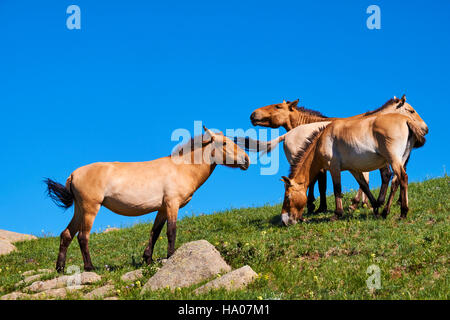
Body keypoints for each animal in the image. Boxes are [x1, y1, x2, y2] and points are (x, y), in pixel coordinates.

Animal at [45, 126, 250, 272]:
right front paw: (171, 256)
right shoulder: (172, 204)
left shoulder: (162, 208)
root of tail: (73, 174)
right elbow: (171, 231)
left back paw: (60, 268)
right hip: (90, 208)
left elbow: (155, 232)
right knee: (82, 236)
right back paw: (89, 267)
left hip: (79, 209)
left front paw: (148, 259)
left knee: (66, 234)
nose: (247, 160)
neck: (181, 167)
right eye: (224, 143)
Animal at [280, 102, 428, 225]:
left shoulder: (334, 167)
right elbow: (364, 186)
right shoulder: (354, 169)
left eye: (287, 197)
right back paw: (385, 211)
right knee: (396, 181)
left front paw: (337, 214)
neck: (322, 139)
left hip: (393, 160)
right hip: (400, 160)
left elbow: (337, 189)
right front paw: (375, 208)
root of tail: (406, 120)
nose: (284, 220)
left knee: (402, 178)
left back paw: (403, 212)